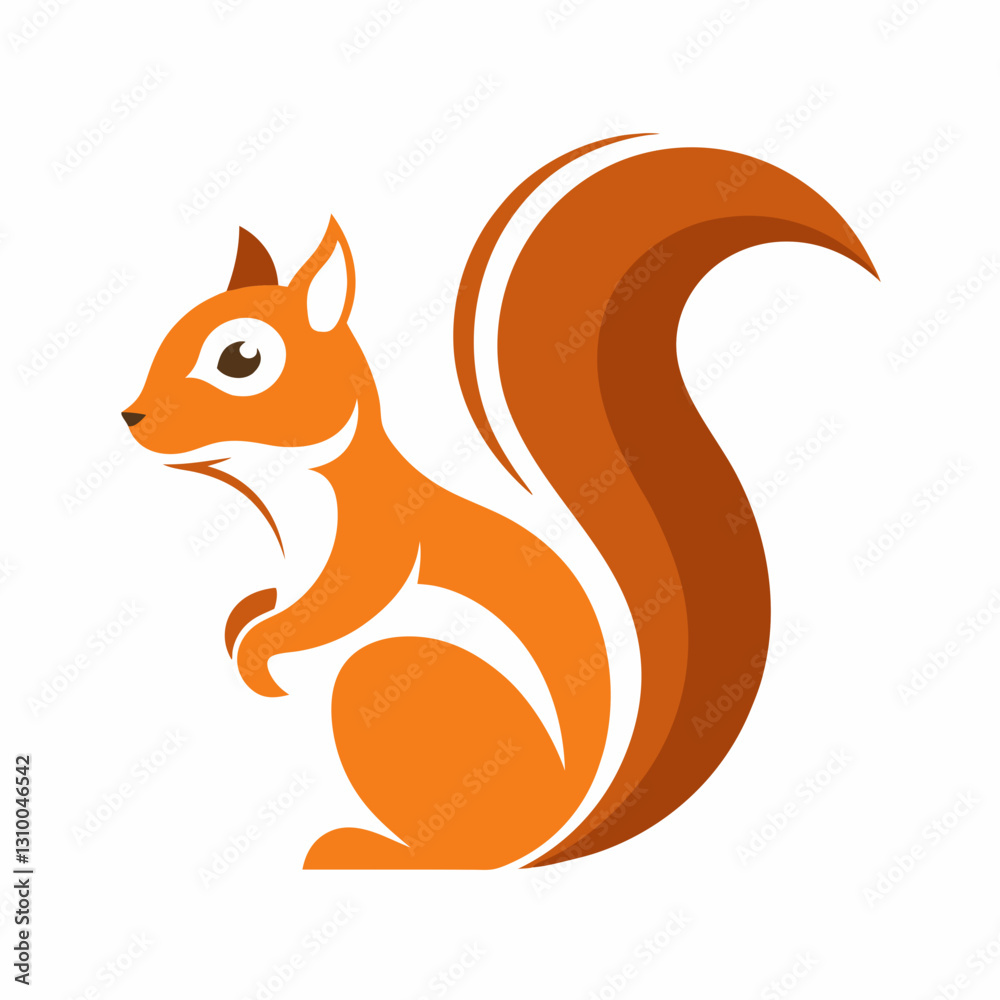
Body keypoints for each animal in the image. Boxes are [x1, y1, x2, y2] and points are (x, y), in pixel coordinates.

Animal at [124, 137, 876, 869]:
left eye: (242, 359)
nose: (132, 416)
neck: (294, 486)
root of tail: (556, 833)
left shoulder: (376, 543)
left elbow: (339, 604)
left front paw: (261, 652)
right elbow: (274, 596)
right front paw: (243, 623)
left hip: (383, 680)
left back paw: (367, 850)